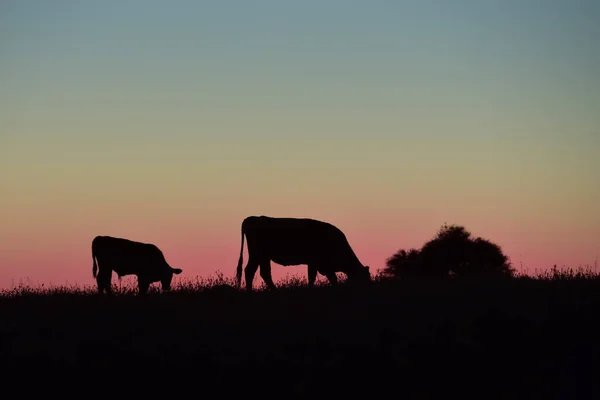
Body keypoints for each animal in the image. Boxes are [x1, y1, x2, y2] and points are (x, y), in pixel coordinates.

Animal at [234, 216, 370, 290]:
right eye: (365, 278)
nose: (368, 288)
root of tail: (252, 218)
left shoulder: (324, 266)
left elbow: (332, 279)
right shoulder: (315, 262)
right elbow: (312, 278)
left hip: (263, 257)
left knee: (265, 273)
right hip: (256, 254)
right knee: (250, 271)